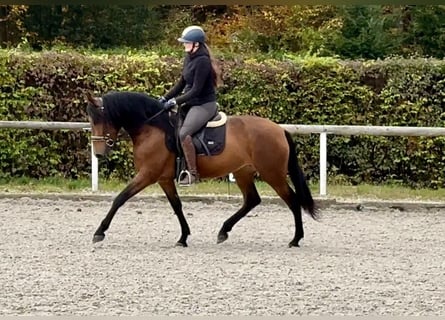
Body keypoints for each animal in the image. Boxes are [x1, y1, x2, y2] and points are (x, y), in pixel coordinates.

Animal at [86, 90, 316, 248]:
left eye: (100, 119)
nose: (98, 153)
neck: (152, 128)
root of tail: (279, 129)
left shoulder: (147, 175)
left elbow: (120, 198)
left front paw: (99, 232)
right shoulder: (164, 179)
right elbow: (177, 206)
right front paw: (183, 237)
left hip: (272, 174)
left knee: (292, 200)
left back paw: (296, 239)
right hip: (243, 172)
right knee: (252, 200)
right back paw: (224, 231)